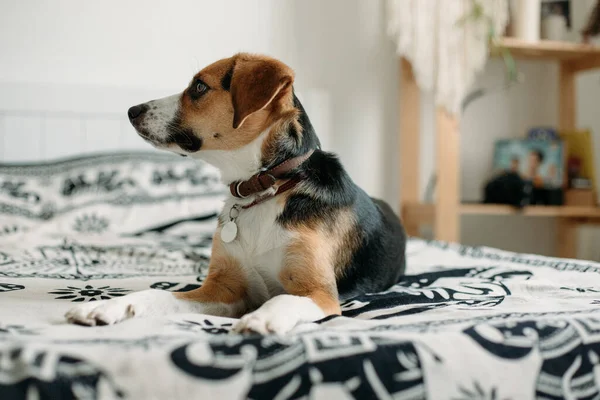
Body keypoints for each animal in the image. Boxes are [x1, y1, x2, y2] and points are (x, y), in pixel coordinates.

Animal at [68, 53, 410, 334]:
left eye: (199, 87)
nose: (132, 110)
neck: (263, 189)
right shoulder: (224, 290)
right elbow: (157, 294)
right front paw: (107, 306)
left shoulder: (318, 293)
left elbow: (279, 301)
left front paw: (260, 318)